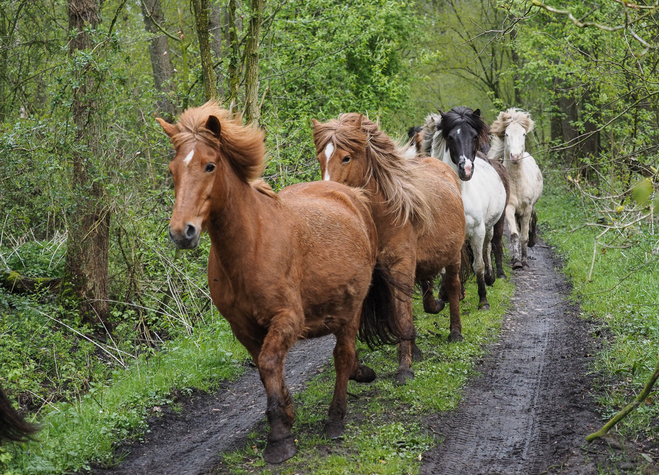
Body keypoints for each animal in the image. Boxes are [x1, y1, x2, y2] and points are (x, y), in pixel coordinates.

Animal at [158, 102, 402, 462]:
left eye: (209, 166)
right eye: (173, 170)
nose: (181, 231)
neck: (252, 246)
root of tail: (350, 193)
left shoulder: (288, 318)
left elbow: (270, 362)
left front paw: (279, 436)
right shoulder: (242, 328)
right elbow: (263, 369)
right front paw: (286, 415)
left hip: (351, 309)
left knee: (342, 355)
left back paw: (335, 418)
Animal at [314, 113, 464, 384]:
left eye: (346, 157)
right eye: (320, 157)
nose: (328, 193)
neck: (384, 217)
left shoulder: (400, 266)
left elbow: (403, 315)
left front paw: (404, 368)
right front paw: (360, 370)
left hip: (454, 256)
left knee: (453, 285)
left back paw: (455, 332)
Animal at [420, 107, 508, 312]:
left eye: (474, 136)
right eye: (451, 137)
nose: (466, 169)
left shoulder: (477, 231)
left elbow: (478, 265)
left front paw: (483, 301)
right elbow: (448, 269)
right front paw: (447, 295)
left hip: (490, 227)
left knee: (488, 246)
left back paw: (491, 276)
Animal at [488, 109, 544, 270]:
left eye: (523, 134)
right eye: (506, 134)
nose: (515, 156)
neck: (517, 183)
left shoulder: (527, 209)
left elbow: (524, 236)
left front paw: (524, 261)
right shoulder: (509, 208)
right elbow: (514, 235)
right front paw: (517, 261)